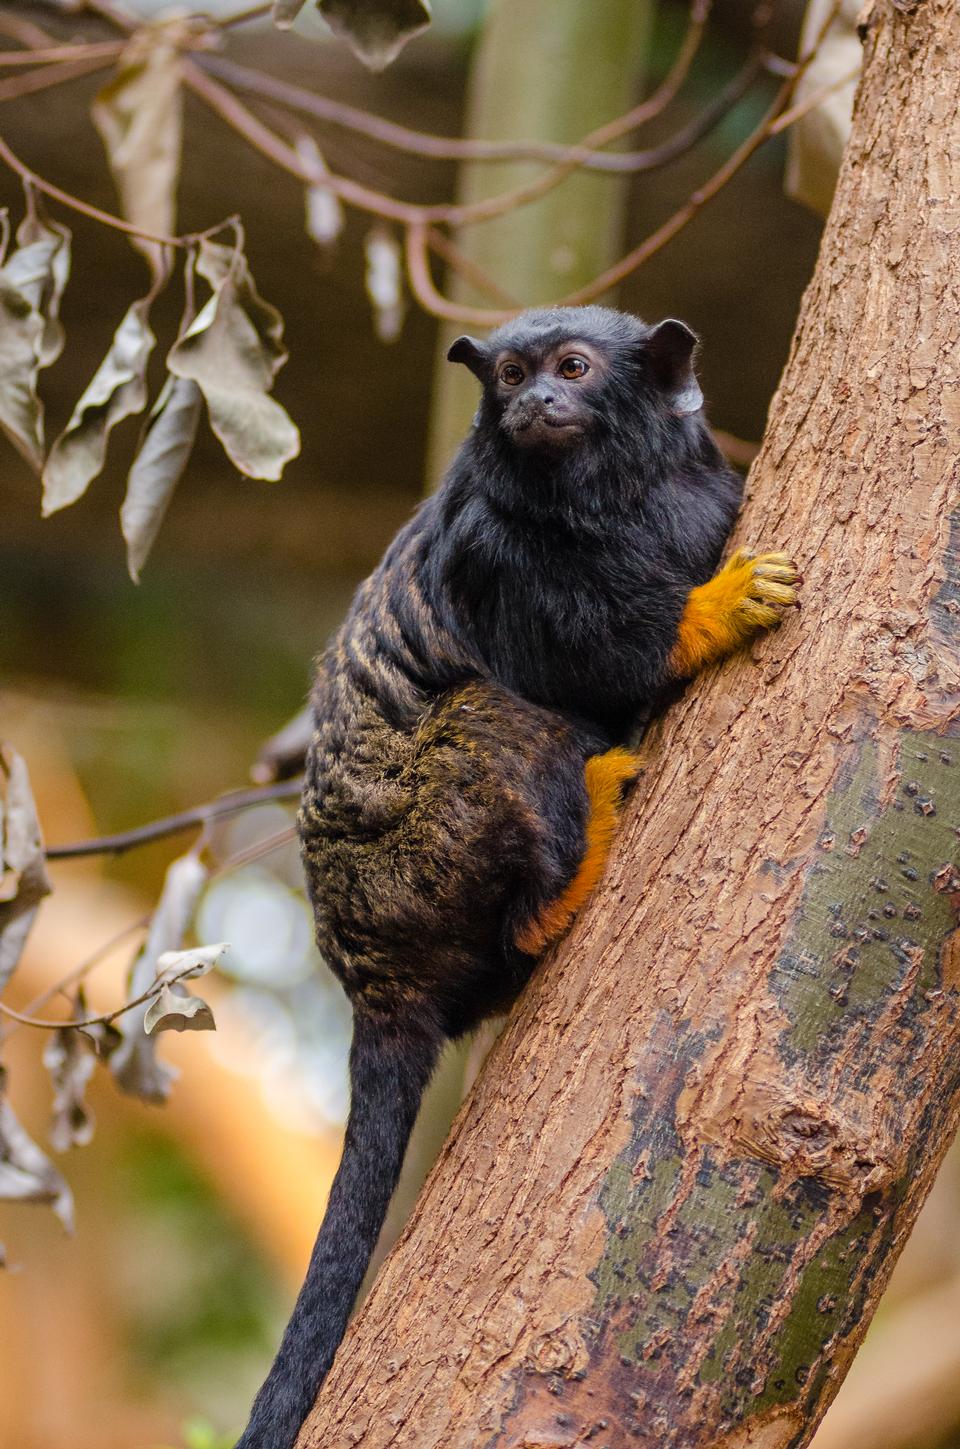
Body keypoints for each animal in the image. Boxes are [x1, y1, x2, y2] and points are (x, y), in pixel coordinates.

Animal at [236, 299, 799, 1443]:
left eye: (572, 370)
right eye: (508, 377)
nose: (535, 402)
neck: (610, 499)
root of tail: (371, 975)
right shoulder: (498, 552)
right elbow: (603, 655)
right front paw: (714, 612)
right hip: (419, 864)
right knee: (501, 723)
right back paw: (573, 860)